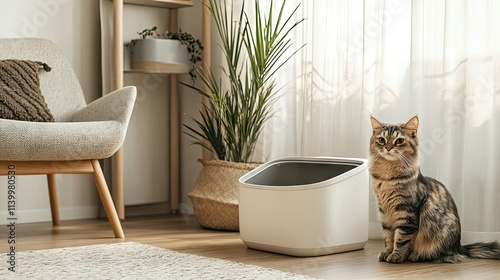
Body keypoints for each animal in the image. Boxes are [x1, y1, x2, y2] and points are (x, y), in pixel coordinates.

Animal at [368, 115, 500, 262]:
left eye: (399, 141)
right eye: (382, 140)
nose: (388, 147)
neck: (387, 178)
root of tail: (460, 247)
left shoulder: (406, 213)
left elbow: (401, 239)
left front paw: (396, 256)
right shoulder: (384, 212)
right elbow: (388, 237)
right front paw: (387, 253)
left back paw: (415, 256)